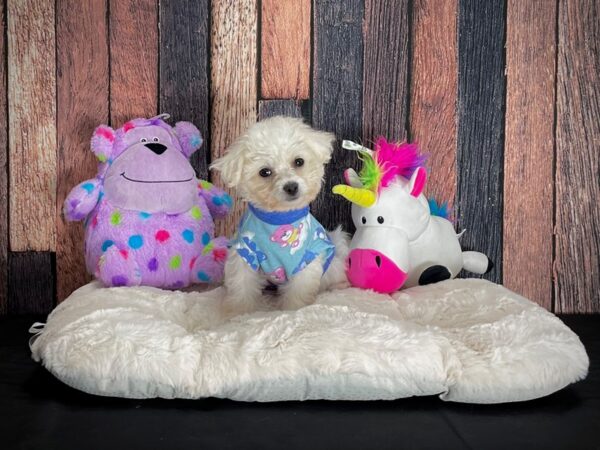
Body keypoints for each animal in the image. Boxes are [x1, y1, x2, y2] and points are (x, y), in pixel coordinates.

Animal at [213, 116, 350, 316]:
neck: (280, 219)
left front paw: (292, 312)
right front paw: (239, 314)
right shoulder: (245, 253)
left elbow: (298, 291)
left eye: (299, 162)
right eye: (265, 172)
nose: (291, 186)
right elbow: (241, 287)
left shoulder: (305, 260)